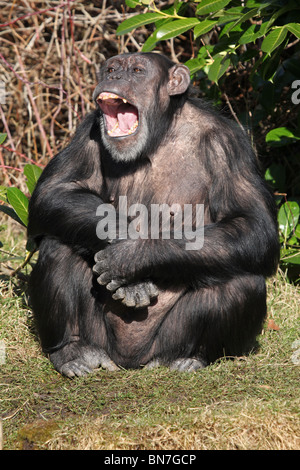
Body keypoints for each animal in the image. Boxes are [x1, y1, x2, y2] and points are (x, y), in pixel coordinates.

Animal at [27, 51, 278, 376]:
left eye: (136, 70)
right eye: (110, 68)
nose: (114, 76)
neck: (160, 136)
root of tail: (129, 361)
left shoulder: (230, 144)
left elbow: (253, 224)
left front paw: (130, 257)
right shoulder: (87, 131)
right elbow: (55, 191)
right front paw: (123, 248)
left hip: (166, 340)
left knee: (241, 279)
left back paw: (188, 358)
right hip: (101, 338)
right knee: (58, 246)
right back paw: (73, 351)